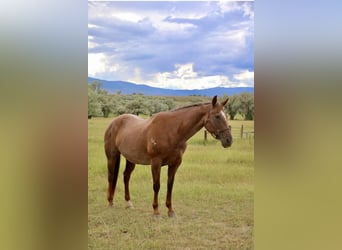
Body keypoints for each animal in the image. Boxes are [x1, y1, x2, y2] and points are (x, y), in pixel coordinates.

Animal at [104, 95, 232, 217]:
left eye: (226, 115)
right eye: (217, 116)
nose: (229, 140)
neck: (172, 131)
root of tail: (114, 122)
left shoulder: (175, 164)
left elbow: (170, 185)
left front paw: (170, 210)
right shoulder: (156, 163)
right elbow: (156, 186)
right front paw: (156, 211)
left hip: (131, 159)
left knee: (126, 176)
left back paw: (128, 203)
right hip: (112, 157)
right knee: (111, 176)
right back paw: (110, 202)